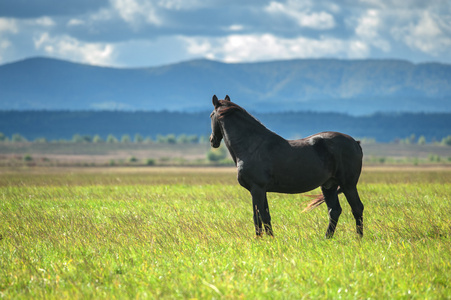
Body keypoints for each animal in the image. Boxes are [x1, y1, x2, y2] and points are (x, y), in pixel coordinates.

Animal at [210, 95, 366, 238]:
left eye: (211, 115)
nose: (213, 140)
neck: (252, 146)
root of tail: (355, 142)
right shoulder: (262, 190)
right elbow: (266, 216)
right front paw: (271, 240)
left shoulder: (256, 189)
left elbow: (257, 217)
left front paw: (259, 240)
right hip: (329, 186)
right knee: (334, 211)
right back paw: (327, 238)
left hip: (348, 185)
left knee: (357, 208)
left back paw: (358, 239)